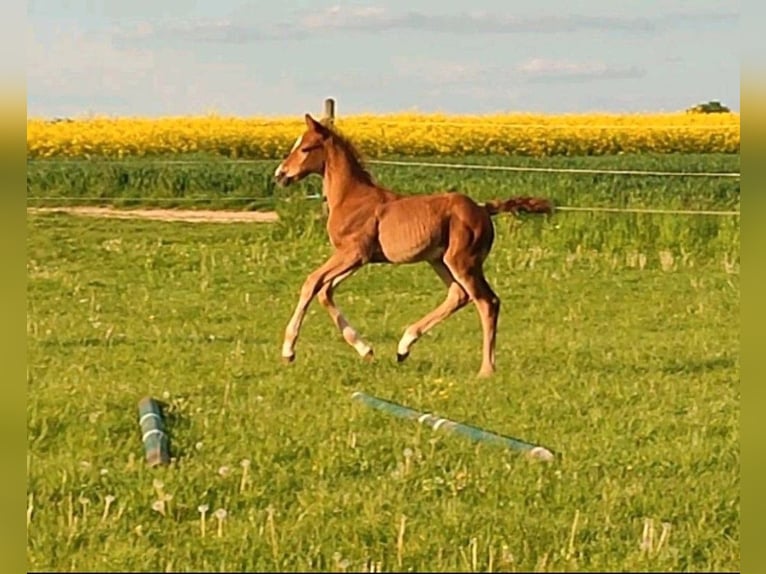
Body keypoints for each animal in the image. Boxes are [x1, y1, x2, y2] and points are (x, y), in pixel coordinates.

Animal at [276, 115, 552, 380]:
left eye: (305, 148)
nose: (280, 175)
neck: (351, 197)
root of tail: (484, 209)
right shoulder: (358, 258)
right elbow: (325, 291)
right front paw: (366, 350)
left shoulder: (352, 253)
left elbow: (311, 283)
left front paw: (288, 352)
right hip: (439, 260)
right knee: (458, 295)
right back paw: (403, 347)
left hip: (464, 262)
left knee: (487, 302)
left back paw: (486, 370)